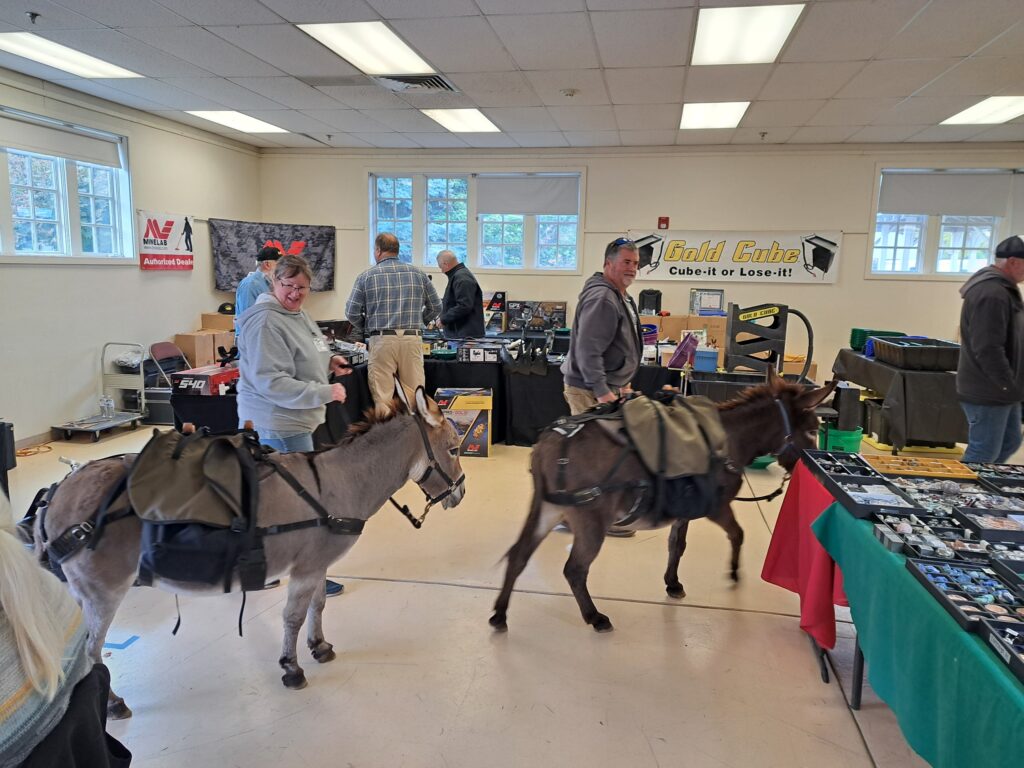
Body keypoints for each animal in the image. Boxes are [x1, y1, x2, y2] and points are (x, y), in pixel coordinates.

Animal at [35, 386, 465, 719]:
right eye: (455, 448)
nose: (460, 494)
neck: (337, 482)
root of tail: (59, 491)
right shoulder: (306, 569)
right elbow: (292, 617)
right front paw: (292, 669)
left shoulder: (317, 565)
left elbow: (319, 605)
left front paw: (320, 646)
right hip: (103, 593)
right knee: (92, 651)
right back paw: (113, 704)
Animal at [490, 369, 837, 633]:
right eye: (812, 430)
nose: (811, 465)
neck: (729, 437)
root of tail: (549, 443)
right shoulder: (717, 507)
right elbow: (738, 534)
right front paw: (735, 573)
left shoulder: (684, 508)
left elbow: (676, 545)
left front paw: (673, 584)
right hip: (591, 520)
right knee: (574, 569)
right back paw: (595, 617)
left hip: (548, 510)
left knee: (519, 555)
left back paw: (499, 615)